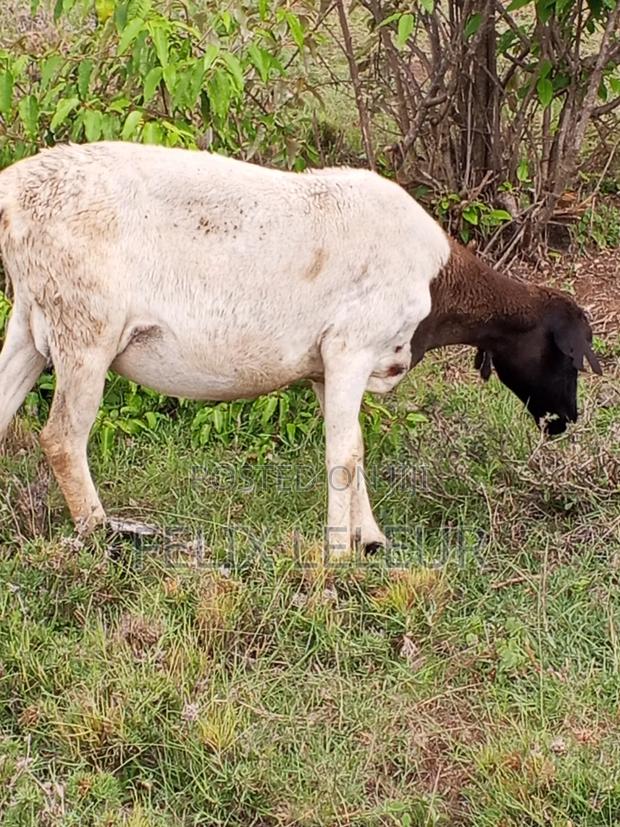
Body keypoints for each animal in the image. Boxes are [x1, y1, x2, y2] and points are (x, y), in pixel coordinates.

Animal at [0, 141, 601, 557]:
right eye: (567, 356)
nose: (566, 420)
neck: (437, 284)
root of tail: (13, 191)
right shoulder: (350, 349)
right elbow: (343, 456)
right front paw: (338, 553)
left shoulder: (324, 370)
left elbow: (354, 448)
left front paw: (371, 541)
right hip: (85, 326)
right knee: (62, 438)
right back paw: (101, 534)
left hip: (31, 320)